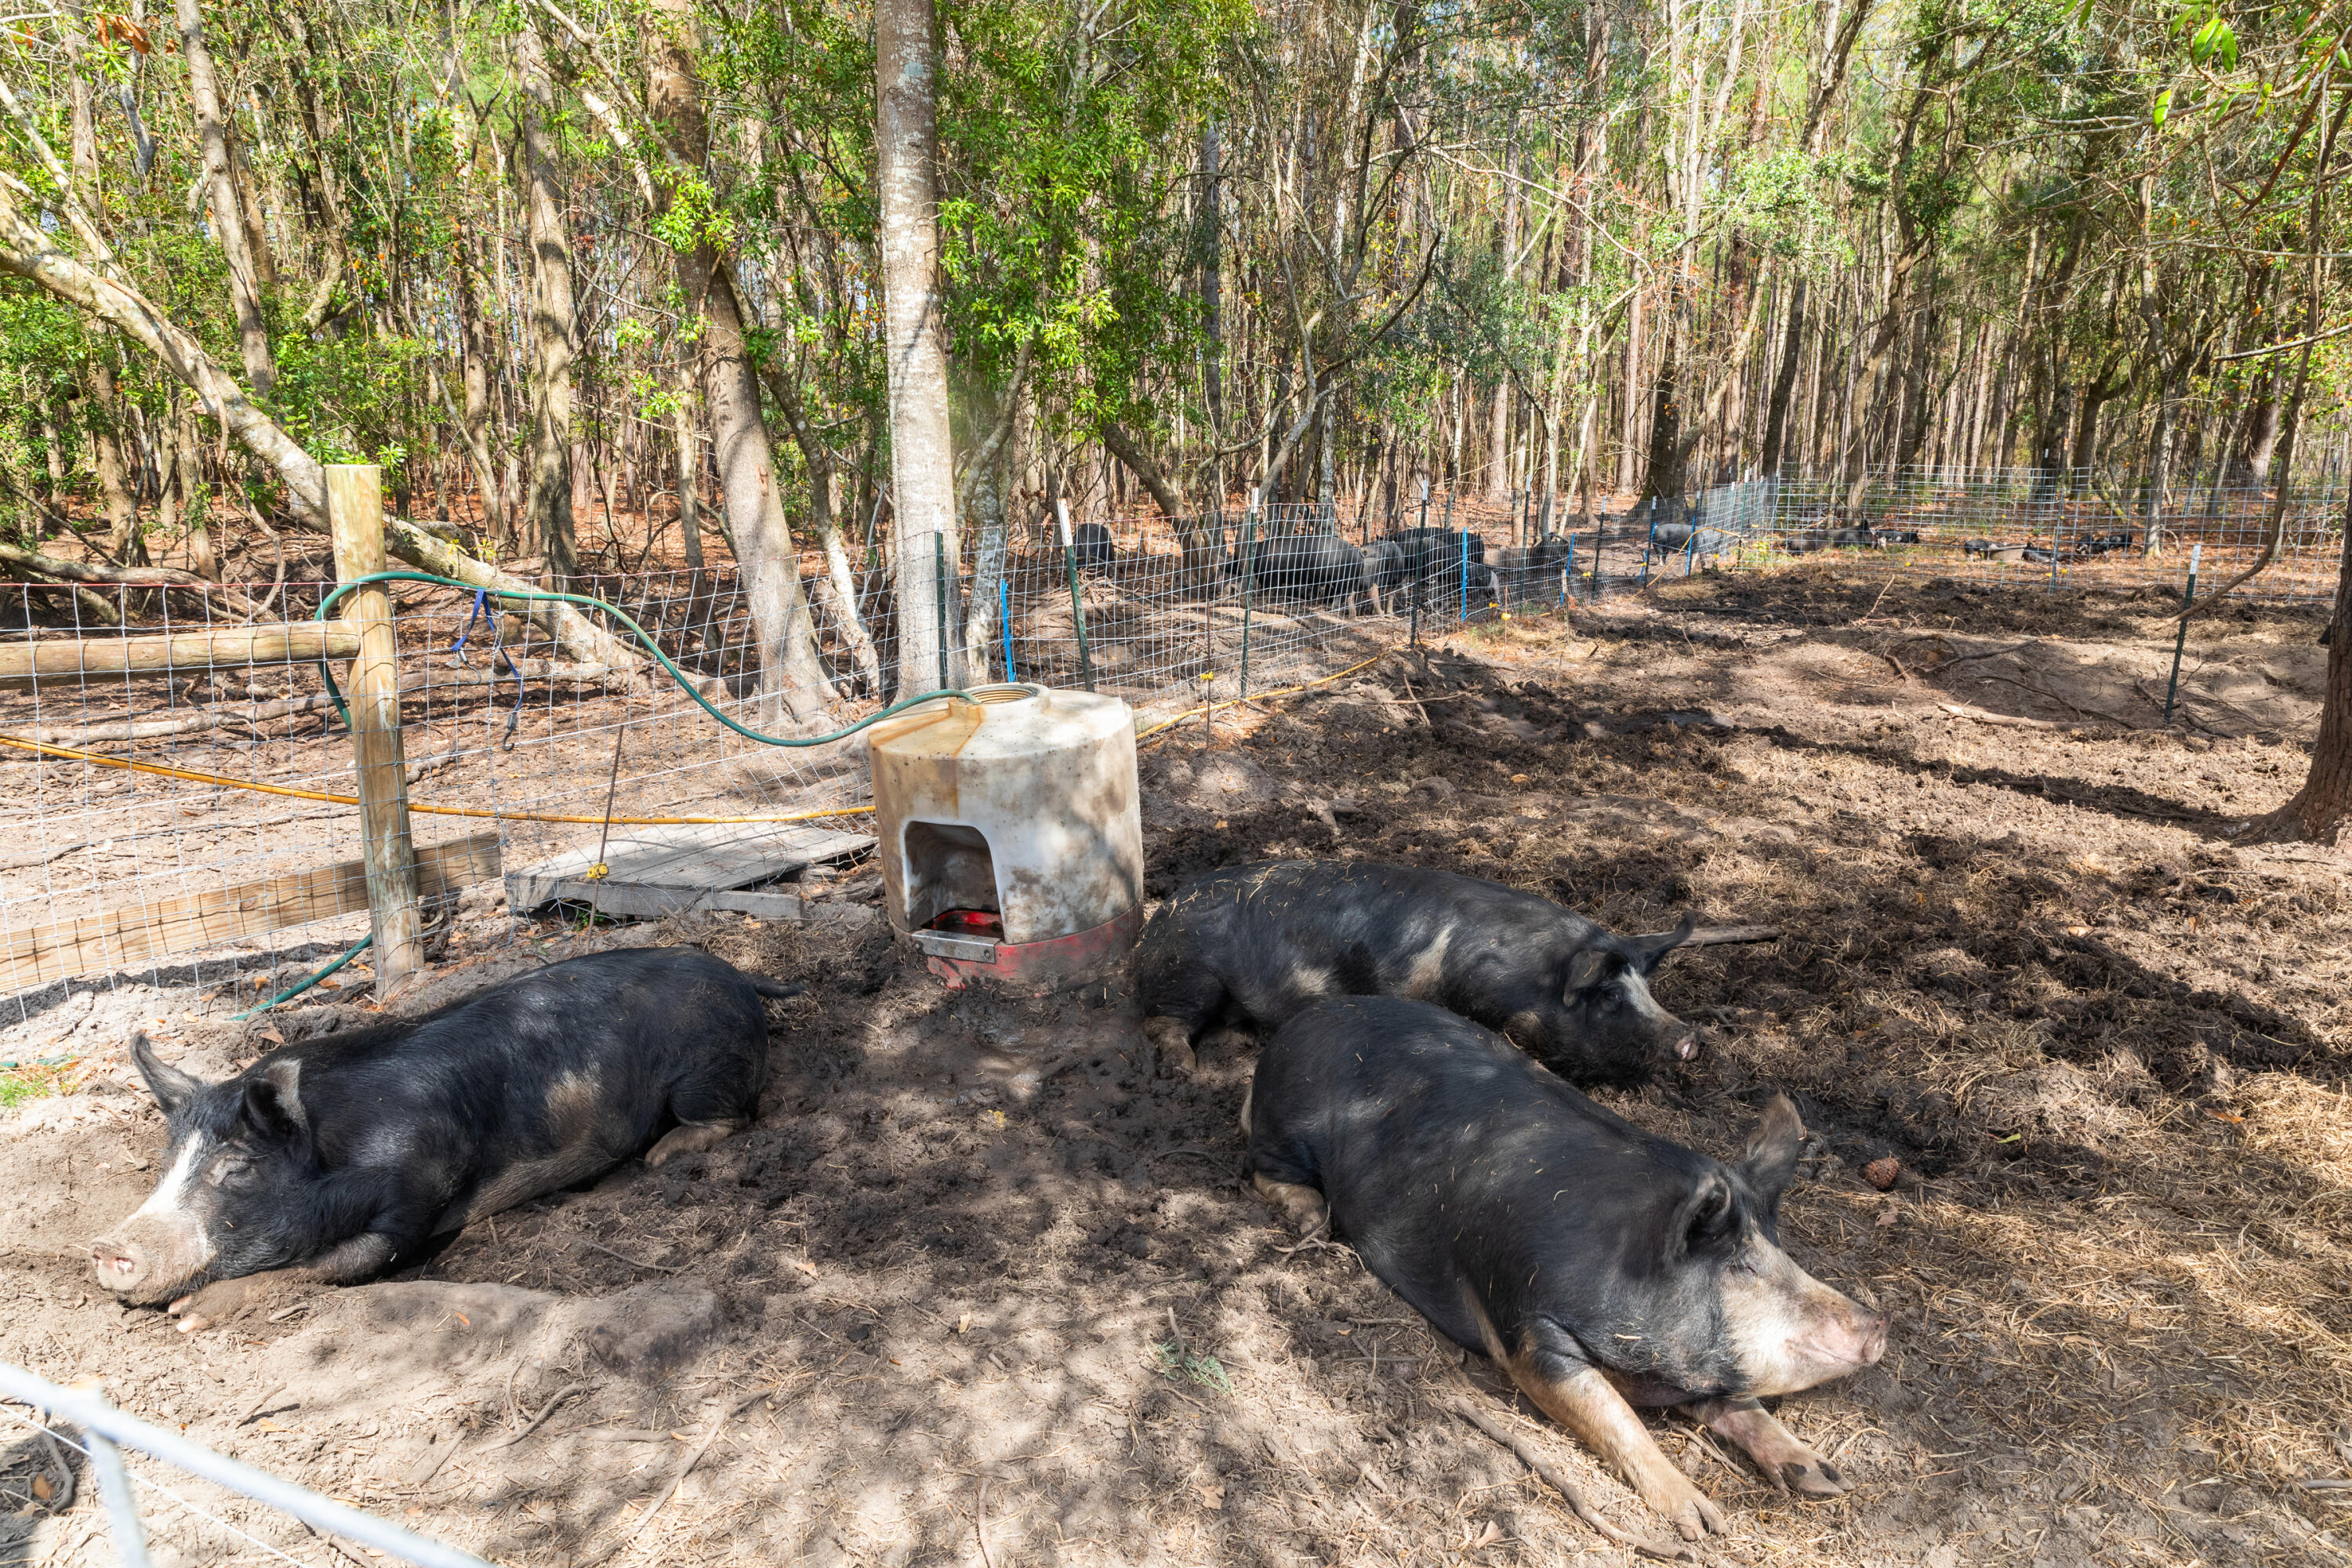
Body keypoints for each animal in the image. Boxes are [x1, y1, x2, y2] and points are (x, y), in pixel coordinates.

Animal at [91, 946, 802, 1331]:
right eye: (167, 1162)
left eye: (236, 1169)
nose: (105, 1246)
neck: (342, 1151)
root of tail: (738, 973)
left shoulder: (416, 1196)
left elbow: (339, 1263)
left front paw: (188, 1315)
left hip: (704, 1069)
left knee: (728, 1117)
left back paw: (657, 1158)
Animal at [1134, 859, 1699, 1083]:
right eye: (1607, 995)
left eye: (1646, 989)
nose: (1691, 1038)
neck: (1528, 977)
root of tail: (1156, 919)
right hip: (1188, 973)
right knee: (1162, 1022)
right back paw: (1186, 1070)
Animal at [1245, 997, 1887, 1539]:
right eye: (1744, 1268)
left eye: (1781, 1250)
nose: (1877, 1324)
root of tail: (1303, 1021)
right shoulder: (1525, 1326)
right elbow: (1614, 1415)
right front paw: (1704, 1523)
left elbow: (1743, 1407)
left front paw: (1827, 1479)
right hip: (1287, 1130)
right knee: (1264, 1168)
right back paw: (1309, 1222)